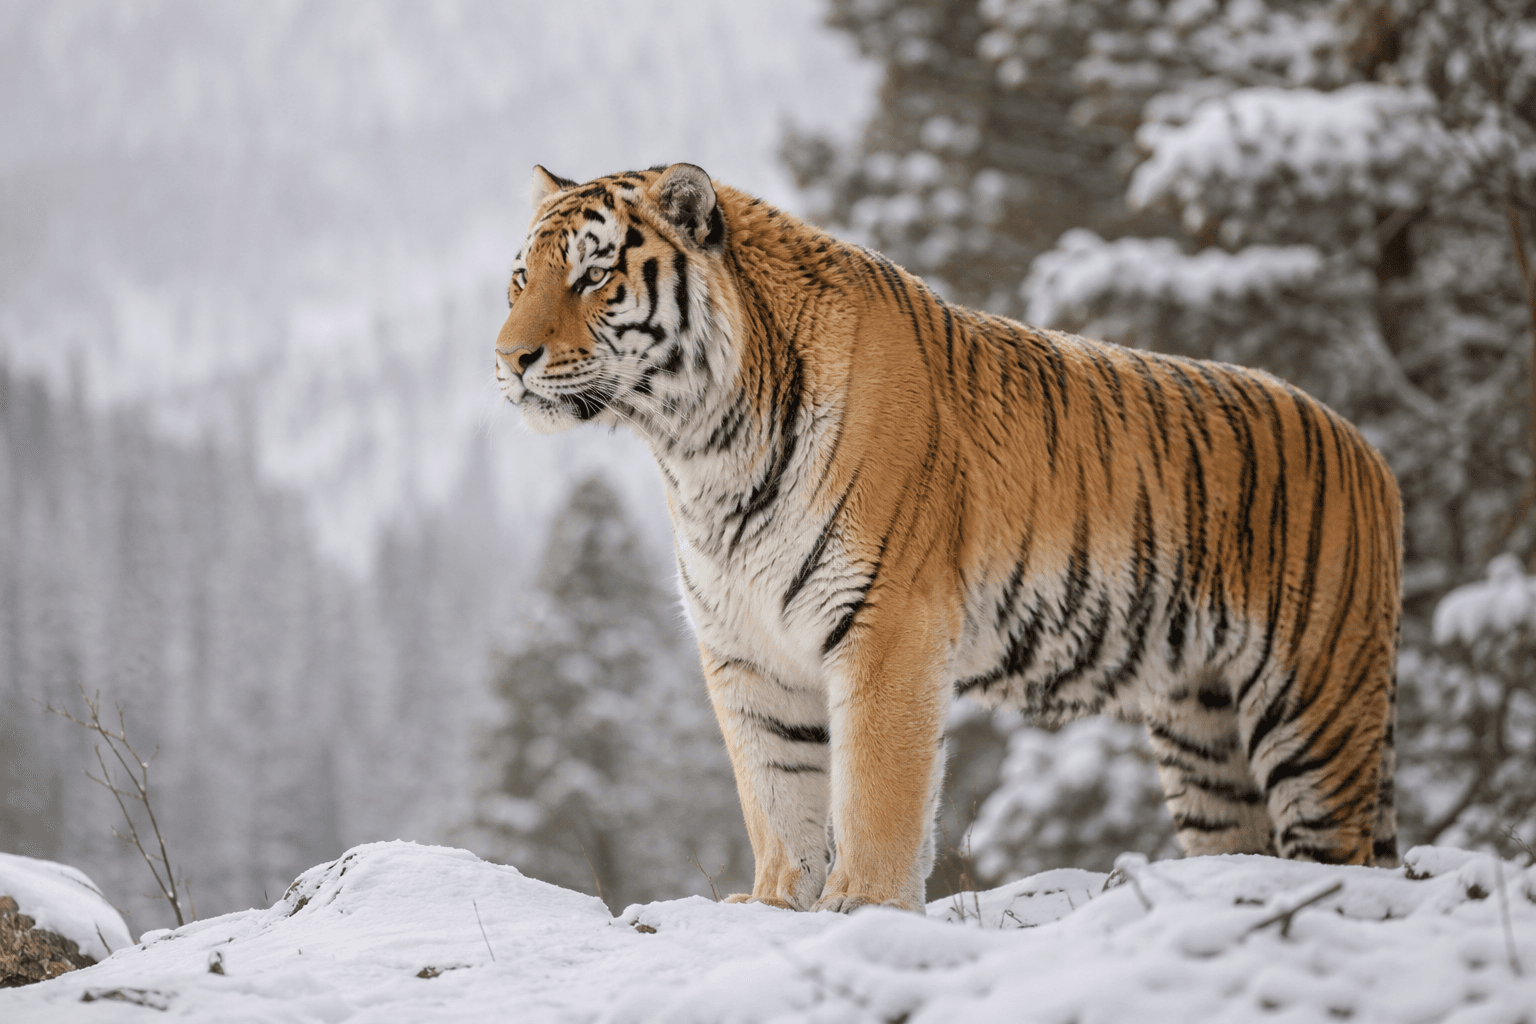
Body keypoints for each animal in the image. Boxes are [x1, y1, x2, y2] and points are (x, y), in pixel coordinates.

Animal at [493, 162, 1402, 913]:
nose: (509, 359)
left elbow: (877, 788)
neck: (705, 452)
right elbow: (777, 795)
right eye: (521, 279)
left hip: (1314, 706)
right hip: (1202, 733)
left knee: (1347, 853)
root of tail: (1368, 450)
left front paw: (862, 909)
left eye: (594, 274)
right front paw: (777, 905)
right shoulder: (745, 649)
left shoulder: (887, 622)